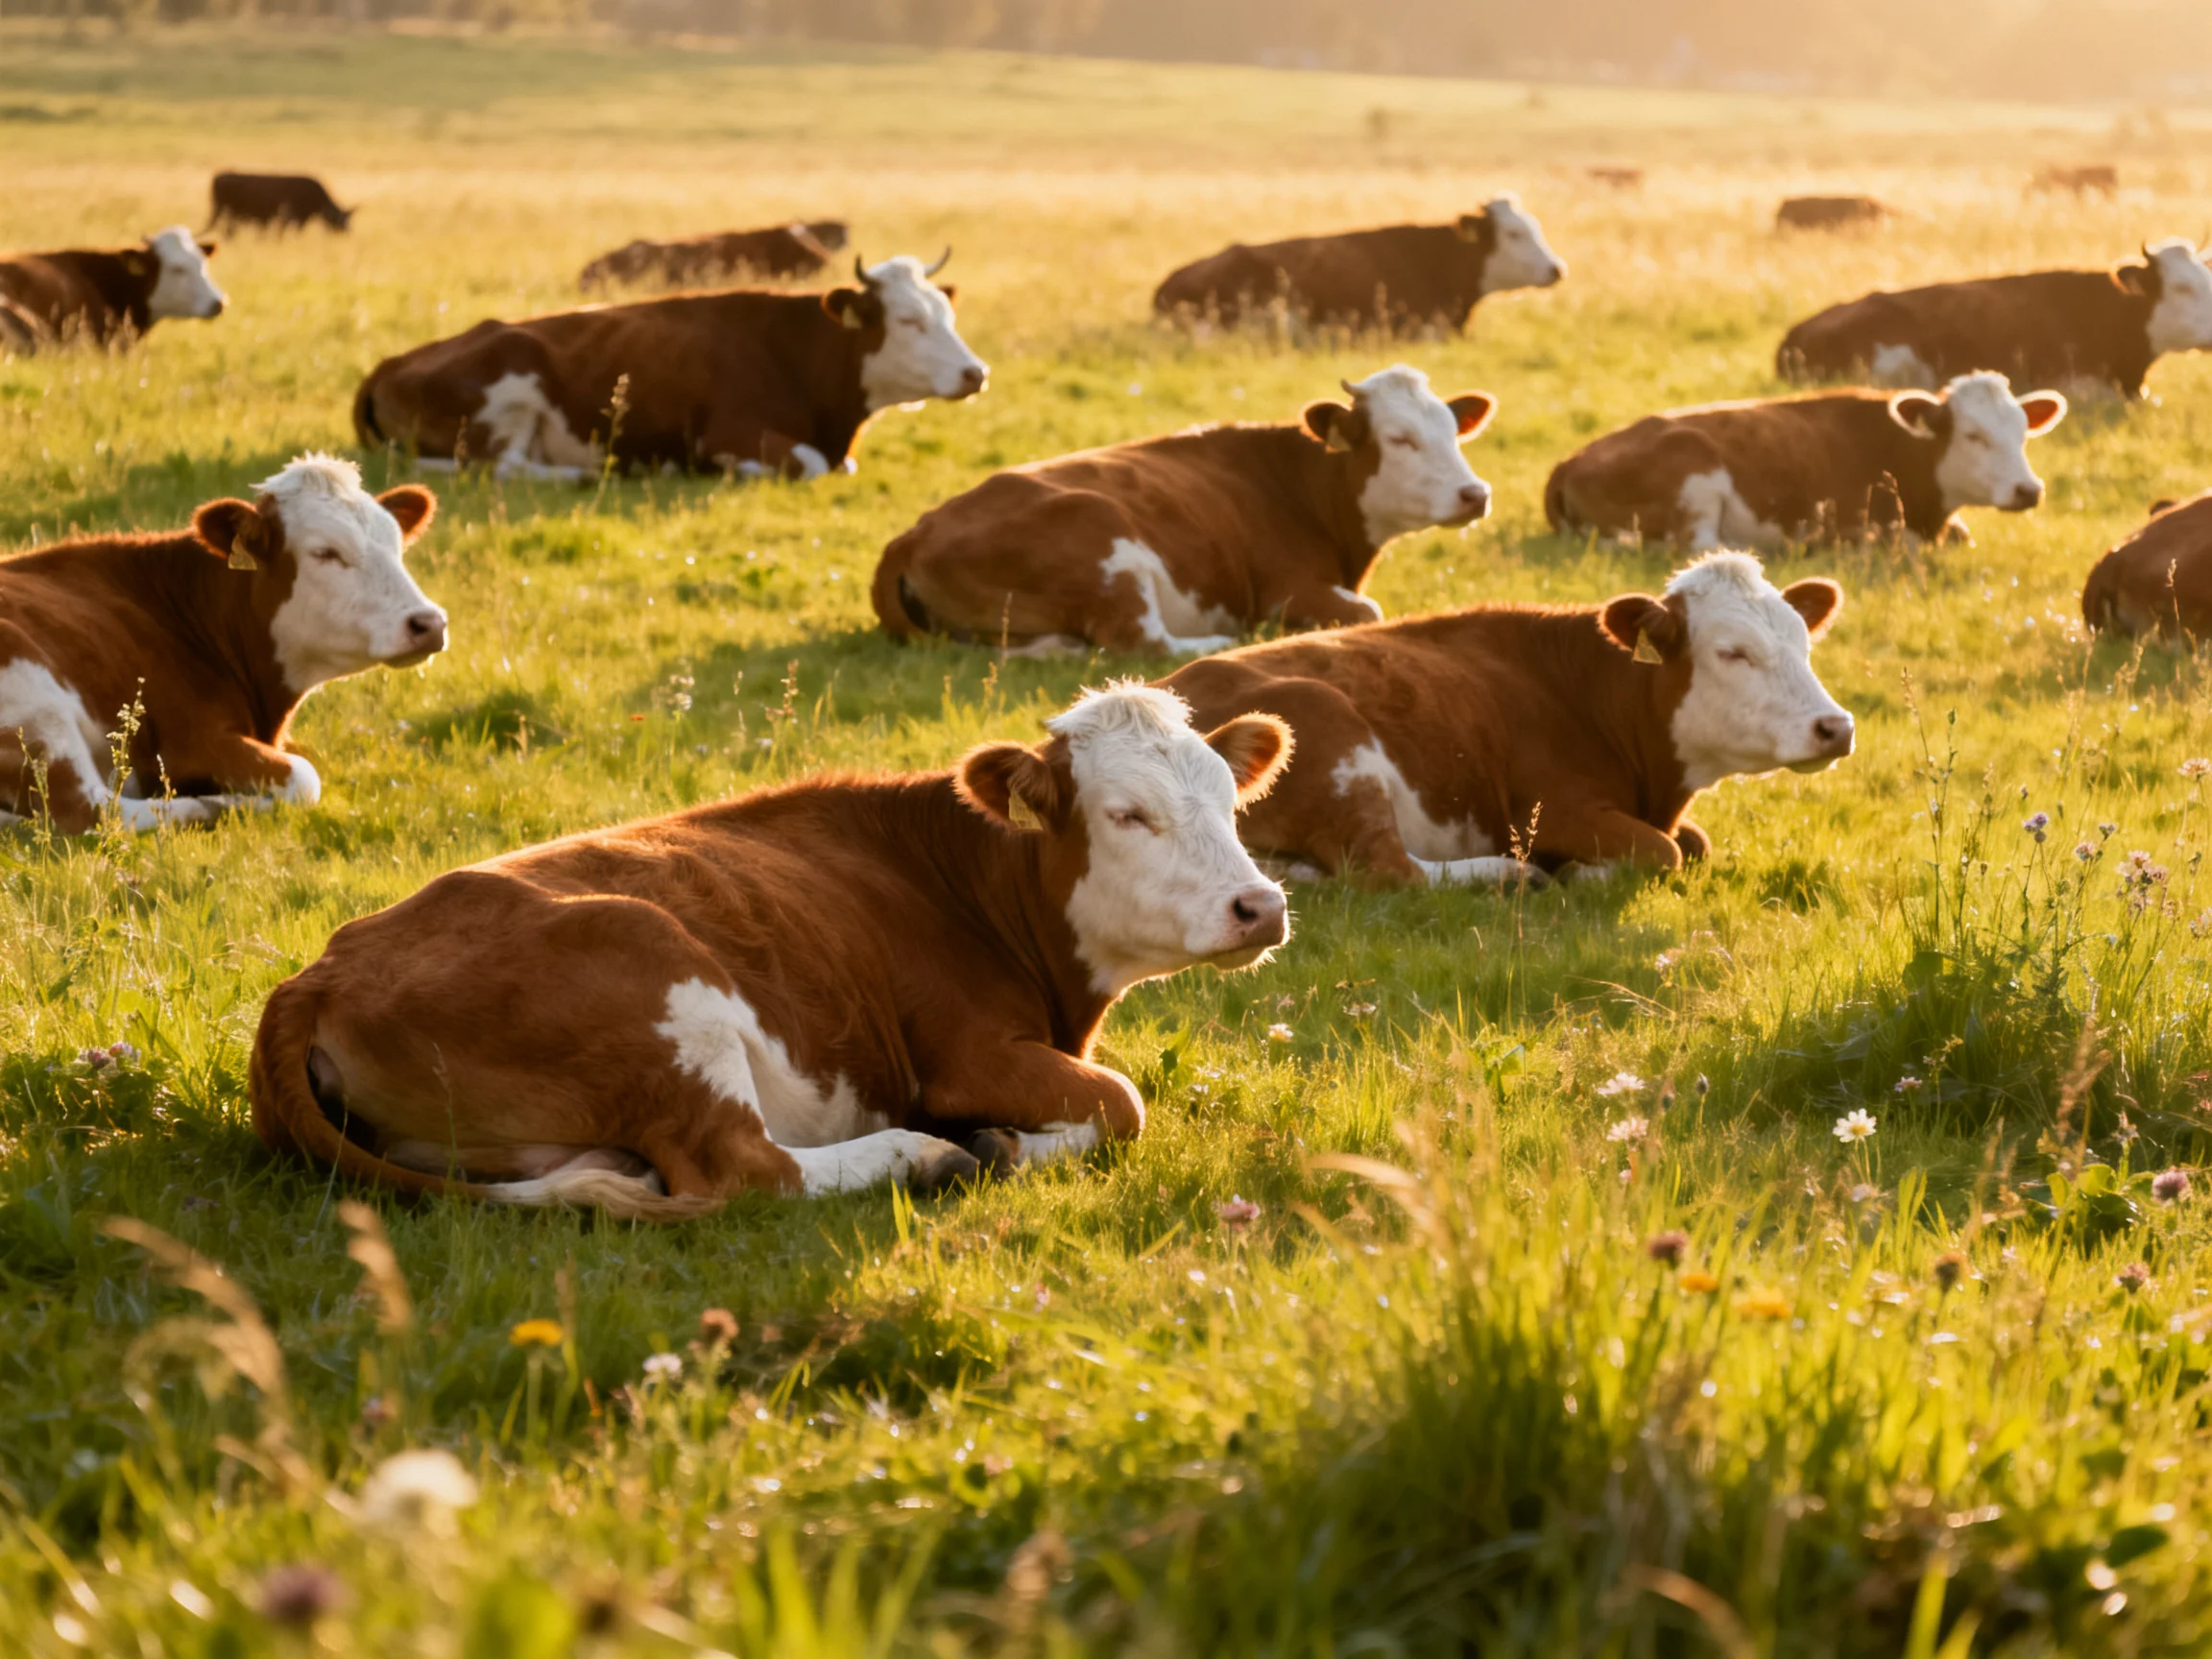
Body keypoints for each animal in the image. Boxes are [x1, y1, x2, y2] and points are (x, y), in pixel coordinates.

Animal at [0, 456, 445, 835]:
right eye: (326, 552)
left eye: (397, 546)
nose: (429, 623)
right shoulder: (190, 741)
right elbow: (305, 776)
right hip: (41, 711)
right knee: (98, 812)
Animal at [246, 684, 1293, 1215]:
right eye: (1127, 815)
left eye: (1229, 798)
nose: (1261, 906)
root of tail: (318, 973)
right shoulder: (966, 1056)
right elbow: (1123, 1101)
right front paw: (999, 1140)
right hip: (657, 972)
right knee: (749, 1168)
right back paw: (924, 1157)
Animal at [354, 252, 987, 482]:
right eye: (908, 320)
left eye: (947, 312)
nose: (975, 373)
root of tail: (387, 363)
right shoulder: (726, 432)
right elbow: (805, 463)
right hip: (511, 387)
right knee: (502, 467)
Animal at [873, 365, 1497, 657]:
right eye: (1399, 439)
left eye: (1452, 430)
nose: (1476, 494)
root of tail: (914, 532)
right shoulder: (1288, 591)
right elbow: (1368, 610)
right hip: (1104, 538)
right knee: (1139, 639)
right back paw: (1227, 642)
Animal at [1157, 553, 1852, 888]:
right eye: (1732, 652)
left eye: (1803, 640)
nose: (1836, 726)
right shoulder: (1549, 810)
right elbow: (1666, 851)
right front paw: (1580, 872)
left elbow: (1693, 843)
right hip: (1333, 736)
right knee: (1391, 871)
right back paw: (1511, 874)